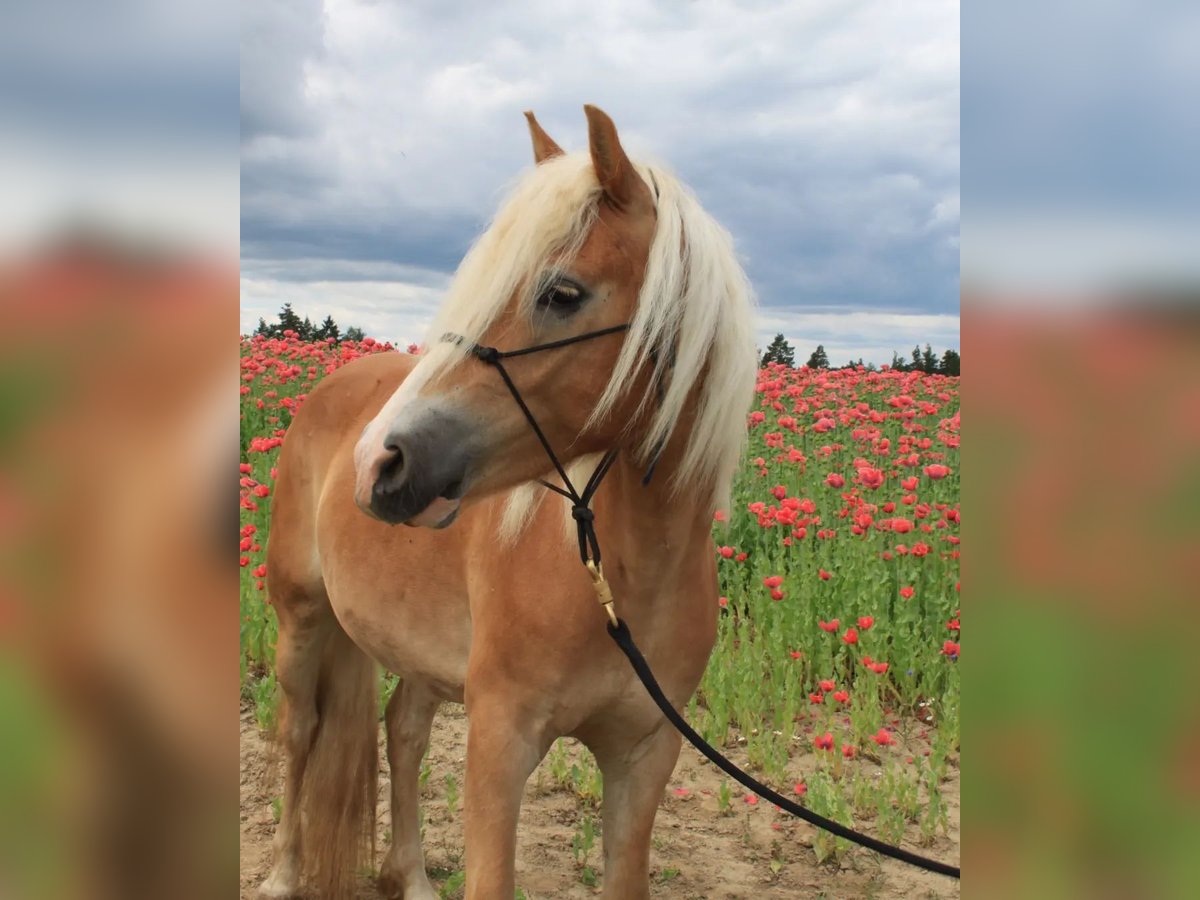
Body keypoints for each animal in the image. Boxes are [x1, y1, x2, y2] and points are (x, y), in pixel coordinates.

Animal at [258, 107, 753, 900]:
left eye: (562, 293)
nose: (378, 462)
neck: (620, 582)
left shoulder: (644, 758)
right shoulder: (500, 743)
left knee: (404, 729)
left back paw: (411, 876)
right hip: (302, 622)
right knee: (302, 731)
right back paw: (282, 873)